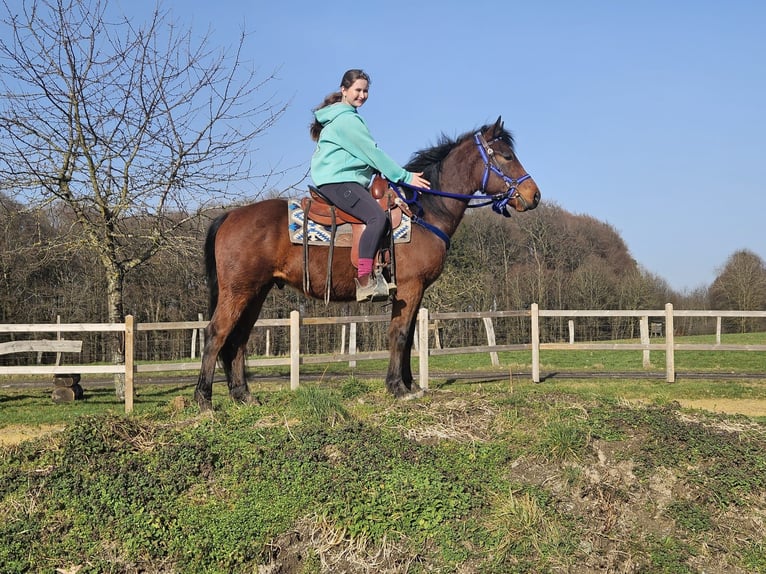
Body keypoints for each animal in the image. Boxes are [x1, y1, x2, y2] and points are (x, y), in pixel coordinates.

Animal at [194, 116, 540, 409]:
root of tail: (229, 216)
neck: (425, 212)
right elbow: (399, 335)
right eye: (507, 156)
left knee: (238, 340)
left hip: (256, 292)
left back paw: (243, 395)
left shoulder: (413, 292)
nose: (534, 195)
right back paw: (204, 399)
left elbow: (408, 336)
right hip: (238, 292)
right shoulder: (409, 288)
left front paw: (410, 385)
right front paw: (397, 388)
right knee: (216, 334)